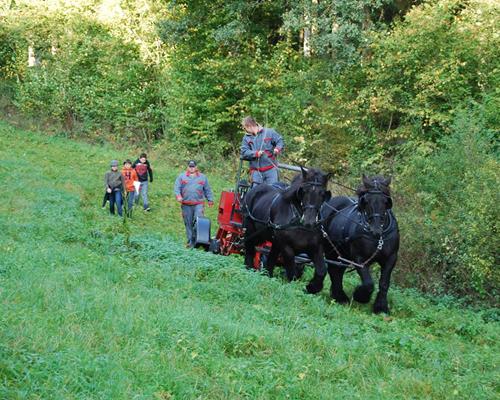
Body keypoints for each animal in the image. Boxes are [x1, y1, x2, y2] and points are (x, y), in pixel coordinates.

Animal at [322, 175, 400, 312]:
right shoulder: (359, 258)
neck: (378, 238)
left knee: (338, 271)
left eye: (386, 202)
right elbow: (368, 283)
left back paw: (339, 296)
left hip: (343, 253)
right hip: (330, 249)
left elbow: (384, 283)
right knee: (333, 270)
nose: (375, 229)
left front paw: (381, 307)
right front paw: (360, 296)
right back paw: (340, 296)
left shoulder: (391, 258)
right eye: (366, 201)